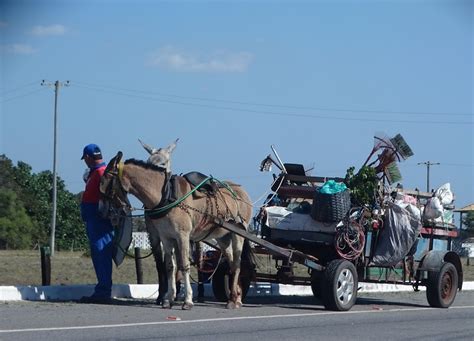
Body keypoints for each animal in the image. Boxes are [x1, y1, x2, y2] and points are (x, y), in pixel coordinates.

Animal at [100, 151, 254, 308]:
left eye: (104, 183)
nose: (102, 210)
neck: (167, 195)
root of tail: (242, 192)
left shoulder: (183, 236)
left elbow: (184, 265)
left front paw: (187, 300)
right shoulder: (166, 237)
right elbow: (169, 266)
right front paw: (168, 298)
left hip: (238, 234)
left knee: (237, 264)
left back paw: (233, 299)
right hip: (223, 237)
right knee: (231, 263)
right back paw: (236, 298)